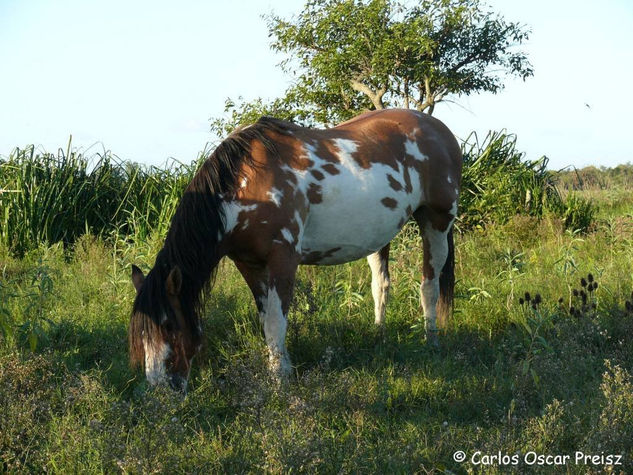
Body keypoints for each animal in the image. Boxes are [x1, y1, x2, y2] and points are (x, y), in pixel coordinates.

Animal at [128, 109, 460, 390]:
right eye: (142, 333)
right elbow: (266, 320)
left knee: (429, 285)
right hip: (380, 234)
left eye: (168, 325)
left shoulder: (283, 259)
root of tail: (439, 129)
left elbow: (277, 322)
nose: (161, 390)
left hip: (437, 221)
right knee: (381, 285)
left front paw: (281, 381)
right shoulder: (249, 264)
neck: (246, 184)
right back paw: (379, 336)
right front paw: (279, 369)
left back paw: (431, 342)